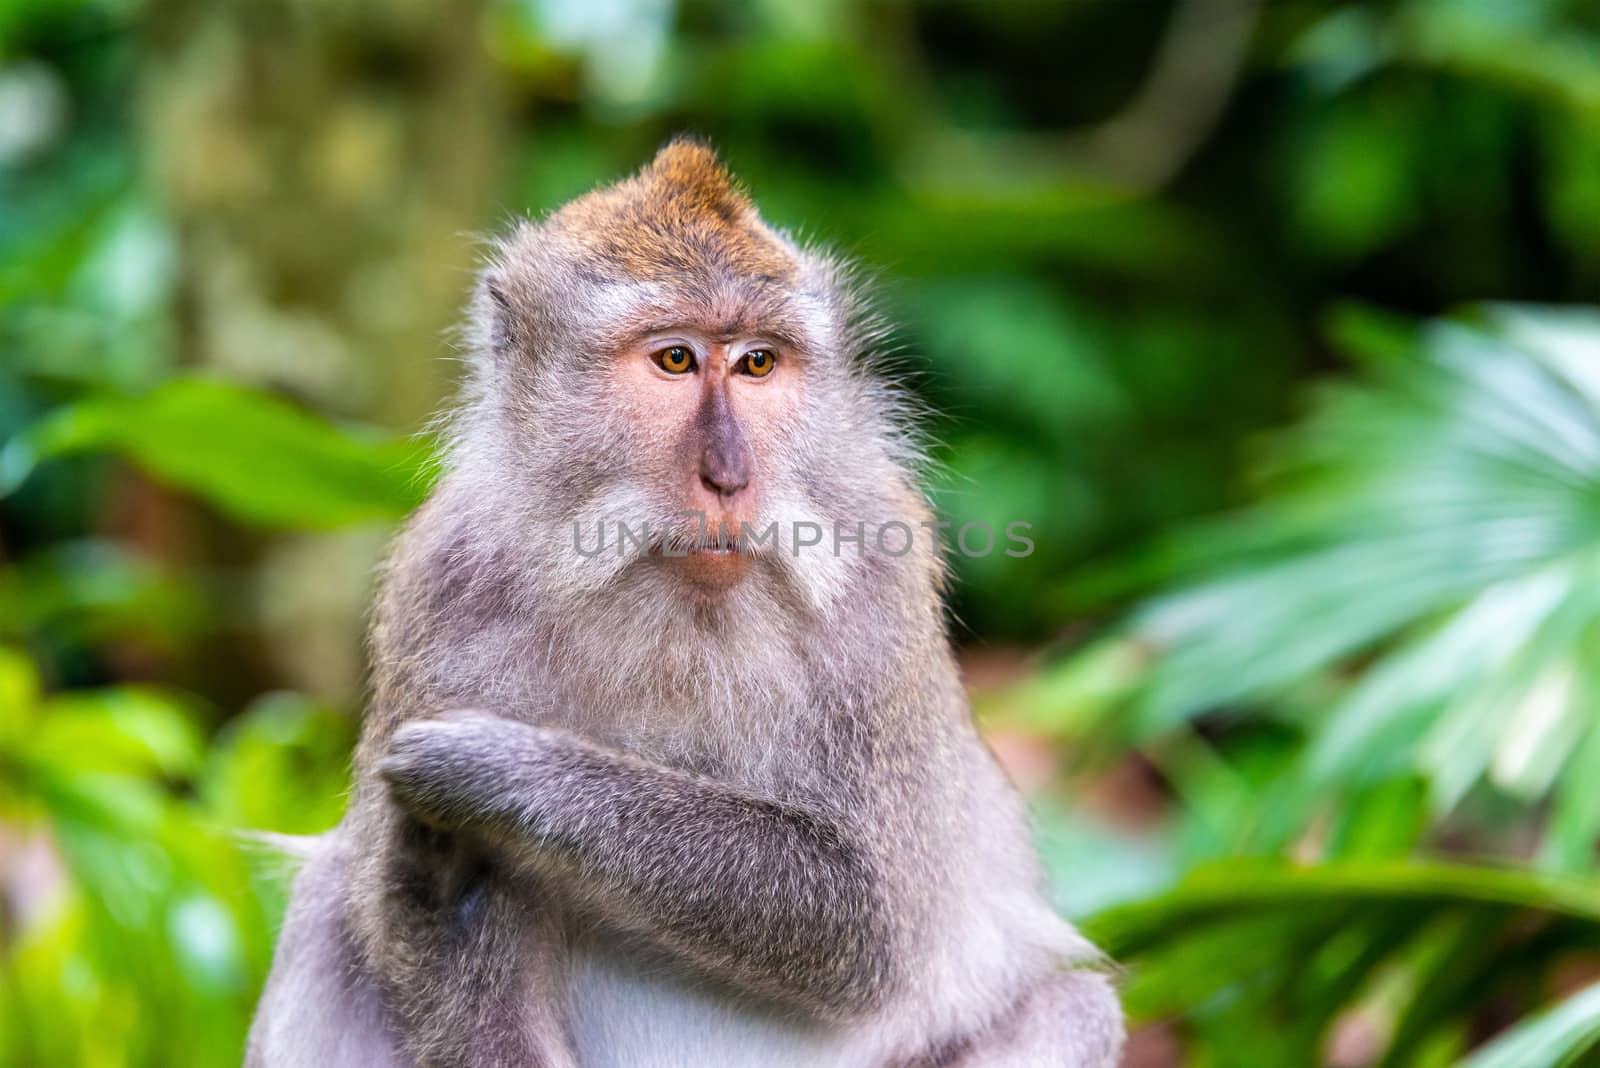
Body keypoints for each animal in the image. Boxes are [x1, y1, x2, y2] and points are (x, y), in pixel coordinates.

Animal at [249, 137, 1126, 1061]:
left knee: (1074, 1007)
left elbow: (869, 917)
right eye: (674, 359)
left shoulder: (880, 589)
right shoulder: (440, 588)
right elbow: (415, 912)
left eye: (757, 362)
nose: (730, 477)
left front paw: (499, 772)